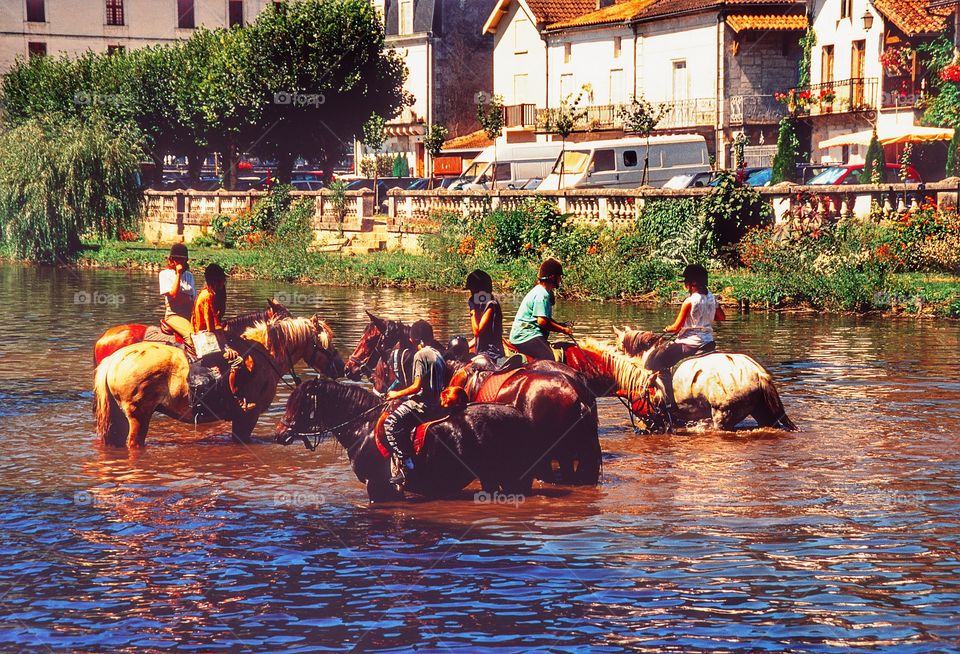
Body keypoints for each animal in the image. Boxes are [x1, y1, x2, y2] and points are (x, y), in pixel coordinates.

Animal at [94, 318, 342, 452]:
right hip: (139, 417)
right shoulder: (247, 417)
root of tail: (114, 359)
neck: (264, 356)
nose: (340, 367)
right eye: (326, 343)